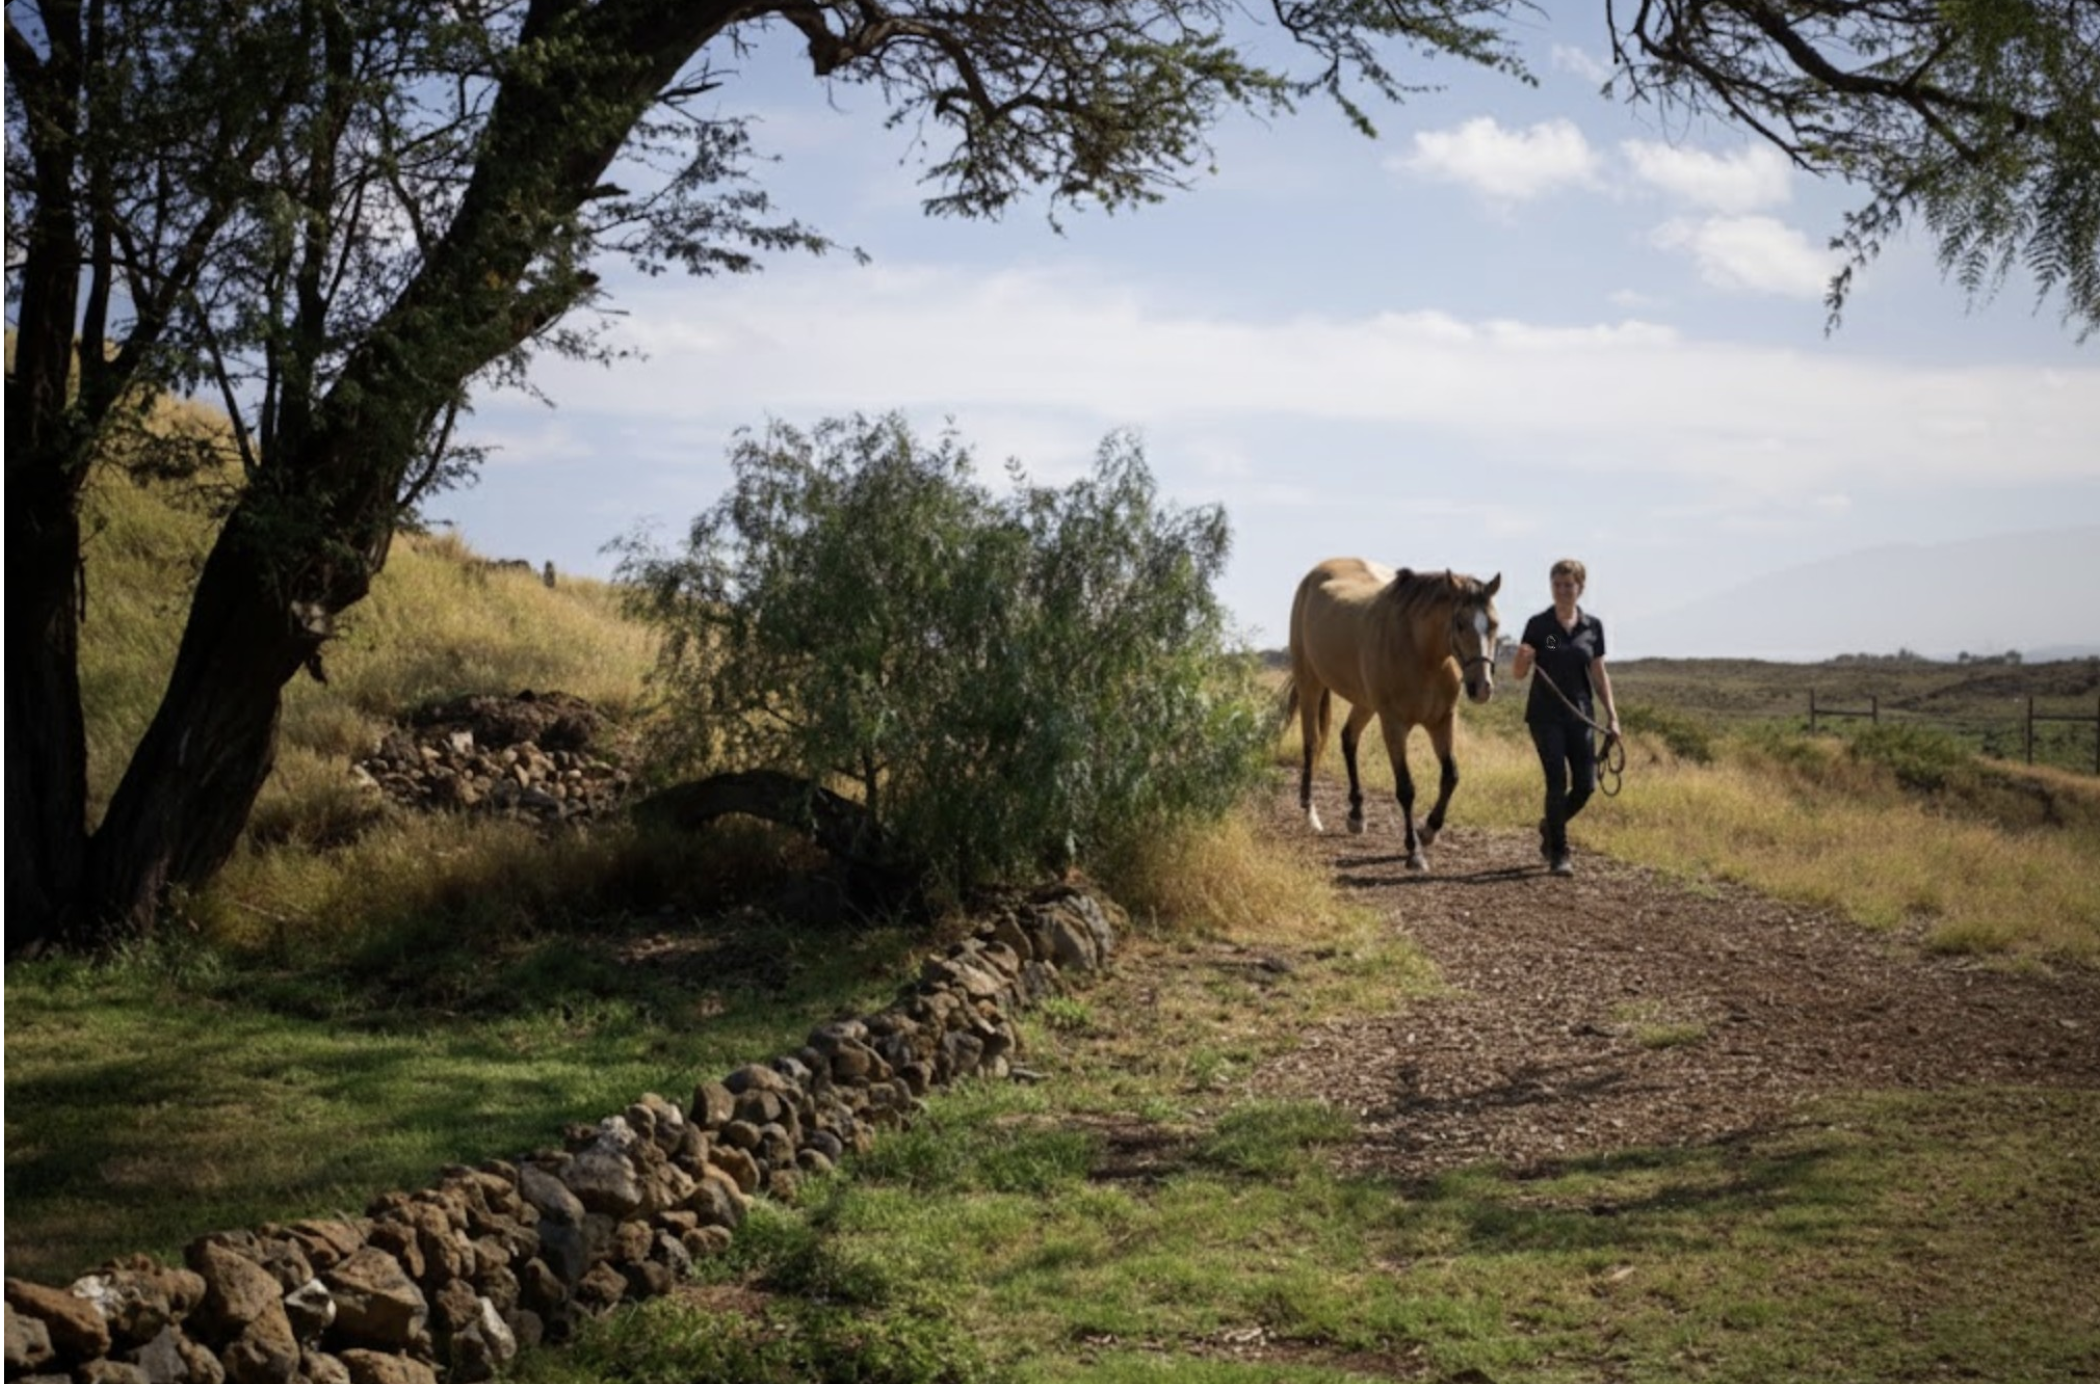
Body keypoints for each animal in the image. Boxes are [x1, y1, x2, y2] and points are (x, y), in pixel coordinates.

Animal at [1284, 559, 1501, 872]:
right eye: (1460, 623)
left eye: (1494, 624)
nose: (1482, 687)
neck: (1421, 653)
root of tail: (1317, 572)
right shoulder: (1394, 725)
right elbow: (1406, 788)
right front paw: (1414, 852)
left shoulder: (1441, 722)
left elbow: (1451, 776)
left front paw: (1429, 830)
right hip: (1309, 682)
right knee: (1311, 743)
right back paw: (1311, 814)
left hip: (1364, 701)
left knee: (1348, 738)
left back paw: (1357, 815)